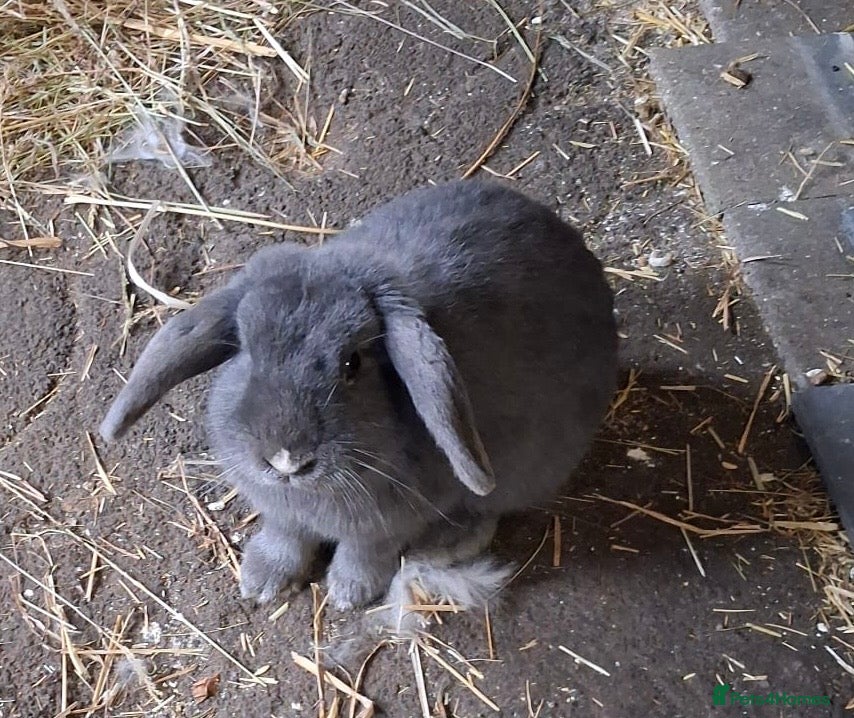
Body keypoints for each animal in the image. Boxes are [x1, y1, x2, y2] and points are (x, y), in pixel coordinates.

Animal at [100, 179, 619, 613]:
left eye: (353, 363)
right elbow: (284, 535)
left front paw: (348, 595)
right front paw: (262, 583)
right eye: (247, 349)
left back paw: (439, 549)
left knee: (486, 514)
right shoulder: (282, 514)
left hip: (521, 472)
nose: (286, 458)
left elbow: (365, 552)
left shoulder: (386, 525)